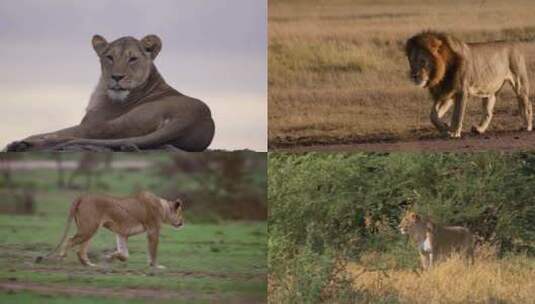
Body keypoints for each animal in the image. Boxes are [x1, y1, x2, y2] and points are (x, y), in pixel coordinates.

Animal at [6, 34, 215, 152]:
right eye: (109, 57)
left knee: (75, 135)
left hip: (120, 122)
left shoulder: (93, 121)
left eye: (132, 59)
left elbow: (55, 131)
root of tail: (195, 119)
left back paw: (21, 144)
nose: (116, 77)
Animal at [38, 191, 184, 268]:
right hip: (89, 228)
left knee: (80, 250)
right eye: (180, 212)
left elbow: (124, 254)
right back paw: (62, 256)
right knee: (70, 240)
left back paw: (89, 264)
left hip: (89, 229)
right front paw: (156, 266)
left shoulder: (122, 234)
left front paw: (110, 257)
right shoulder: (153, 230)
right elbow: (153, 250)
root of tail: (83, 196)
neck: (164, 208)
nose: (183, 222)